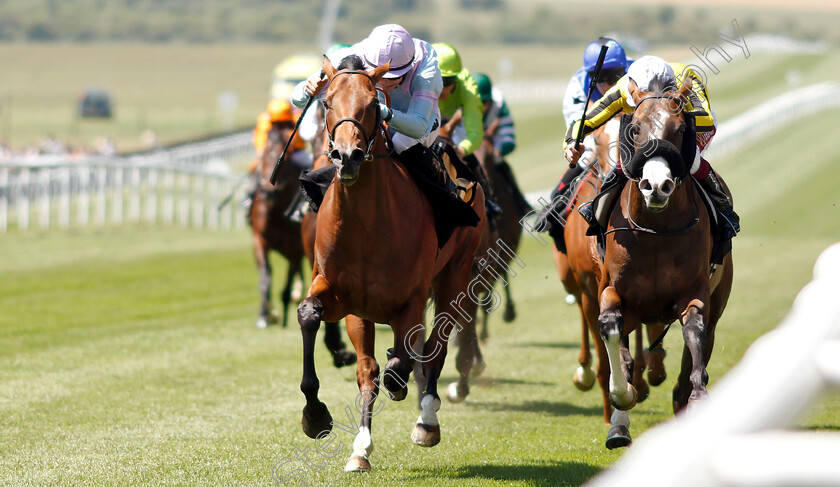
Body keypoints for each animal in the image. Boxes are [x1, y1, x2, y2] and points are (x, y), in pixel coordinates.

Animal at [296, 58, 486, 472]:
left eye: (372, 103)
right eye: (326, 102)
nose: (346, 156)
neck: (367, 224)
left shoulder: (411, 299)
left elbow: (403, 360)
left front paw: (402, 386)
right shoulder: (345, 299)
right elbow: (312, 318)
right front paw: (319, 420)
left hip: (455, 276)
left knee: (437, 344)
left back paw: (427, 420)